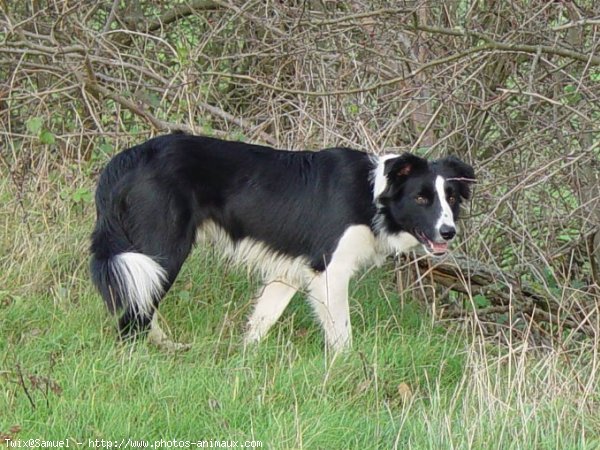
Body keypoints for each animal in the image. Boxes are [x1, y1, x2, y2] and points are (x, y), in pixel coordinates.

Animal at [89, 134, 474, 352]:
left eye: (451, 198)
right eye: (422, 198)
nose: (448, 232)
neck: (372, 194)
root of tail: (127, 159)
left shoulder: (288, 272)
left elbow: (262, 320)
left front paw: (242, 357)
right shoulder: (329, 272)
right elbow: (342, 336)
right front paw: (347, 368)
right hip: (162, 251)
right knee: (133, 315)